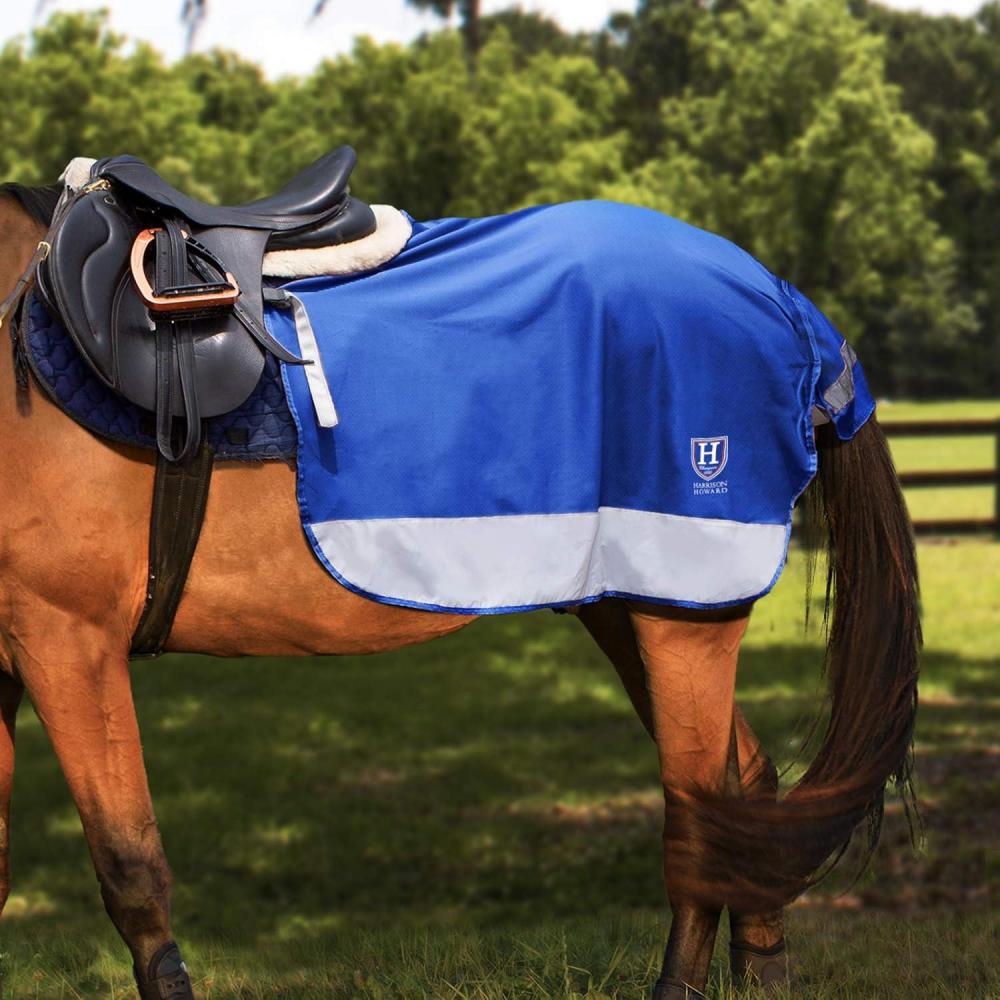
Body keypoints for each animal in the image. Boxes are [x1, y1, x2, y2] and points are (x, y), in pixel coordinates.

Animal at [0, 178, 919, 1000]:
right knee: (748, 791)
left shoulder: (69, 640)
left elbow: (131, 866)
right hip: (634, 606)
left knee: (701, 815)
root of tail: (781, 300)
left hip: (684, 609)